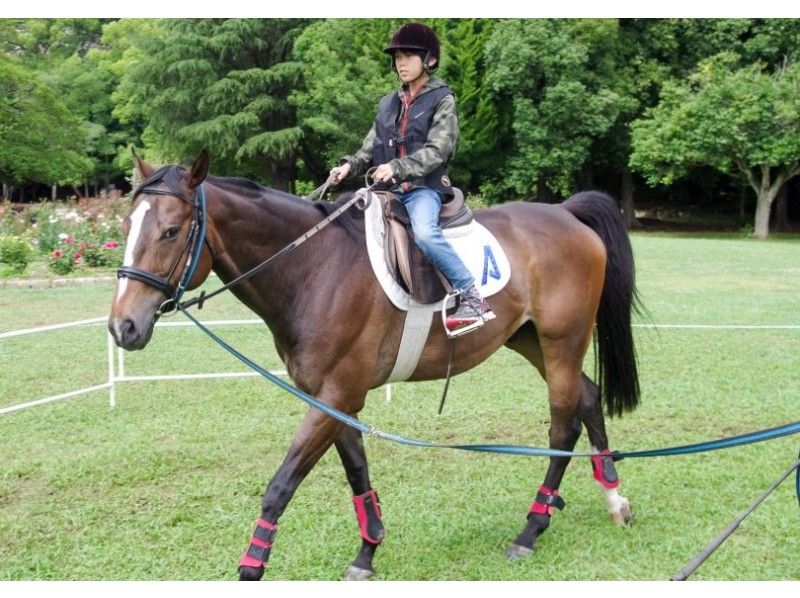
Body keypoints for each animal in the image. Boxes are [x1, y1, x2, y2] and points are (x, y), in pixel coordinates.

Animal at [108, 152, 644, 584]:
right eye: (126, 229)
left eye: (171, 231)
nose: (123, 326)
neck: (313, 267)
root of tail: (566, 214)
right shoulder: (332, 397)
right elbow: (357, 472)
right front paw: (367, 551)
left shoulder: (336, 395)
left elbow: (281, 484)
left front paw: (252, 566)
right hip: (529, 340)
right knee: (588, 397)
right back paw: (614, 500)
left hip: (562, 342)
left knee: (561, 427)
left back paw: (532, 528)